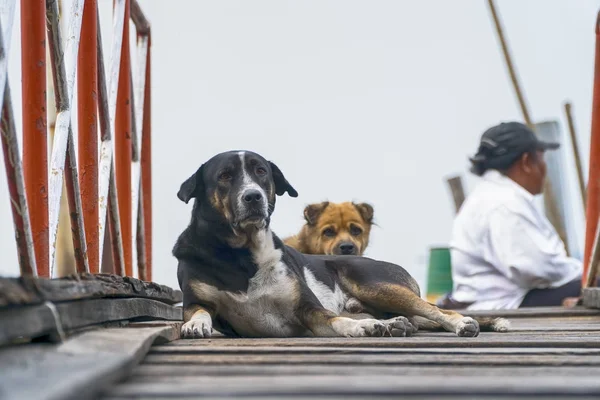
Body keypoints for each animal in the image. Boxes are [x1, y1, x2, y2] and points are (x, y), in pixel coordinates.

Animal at [172, 150, 506, 338]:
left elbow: (335, 320)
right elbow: (197, 311)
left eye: (261, 172)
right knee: (415, 318)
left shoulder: (308, 310)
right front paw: (196, 325)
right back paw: (398, 324)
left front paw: (361, 328)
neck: (241, 254)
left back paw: (460, 323)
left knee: (433, 310)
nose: (253, 196)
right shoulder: (196, 300)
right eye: (225, 176)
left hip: (375, 284)